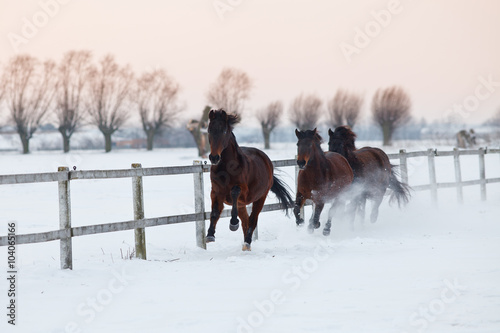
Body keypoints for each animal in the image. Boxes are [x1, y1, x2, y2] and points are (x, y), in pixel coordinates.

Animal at [206, 108, 294, 249]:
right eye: (209, 130)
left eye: (224, 131)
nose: (214, 157)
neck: (227, 169)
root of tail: (267, 160)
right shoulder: (215, 192)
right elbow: (214, 212)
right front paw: (210, 235)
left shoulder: (244, 193)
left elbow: (235, 191)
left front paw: (233, 223)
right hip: (243, 204)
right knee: (246, 221)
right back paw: (245, 243)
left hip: (260, 198)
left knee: (252, 220)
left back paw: (247, 242)